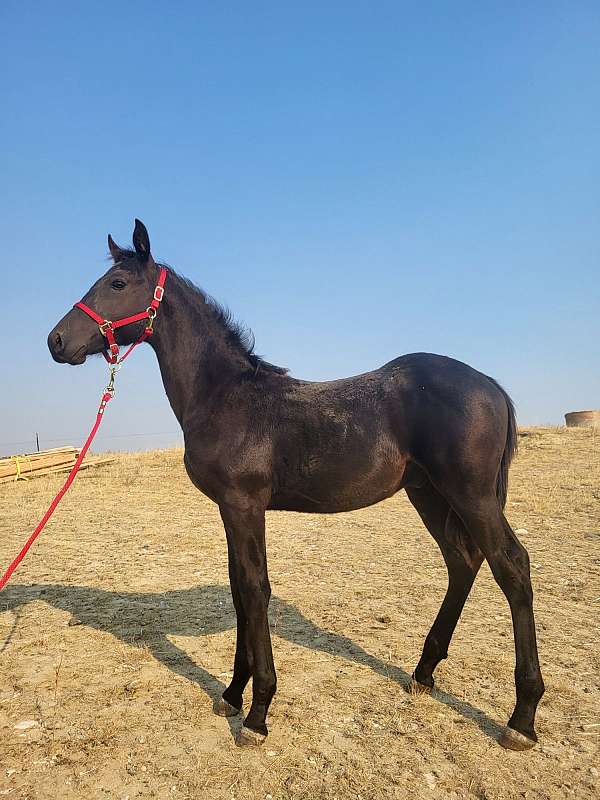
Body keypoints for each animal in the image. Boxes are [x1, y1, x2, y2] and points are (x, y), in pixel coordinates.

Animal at [47, 217, 544, 752]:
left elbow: (254, 588)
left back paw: (522, 717)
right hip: (428, 492)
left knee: (511, 566)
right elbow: (238, 590)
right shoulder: (230, 509)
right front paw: (232, 693)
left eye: (117, 283)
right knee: (462, 560)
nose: (56, 341)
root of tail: (491, 385)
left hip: (471, 494)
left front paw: (258, 712)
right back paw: (424, 673)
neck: (225, 396)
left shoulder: (244, 504)